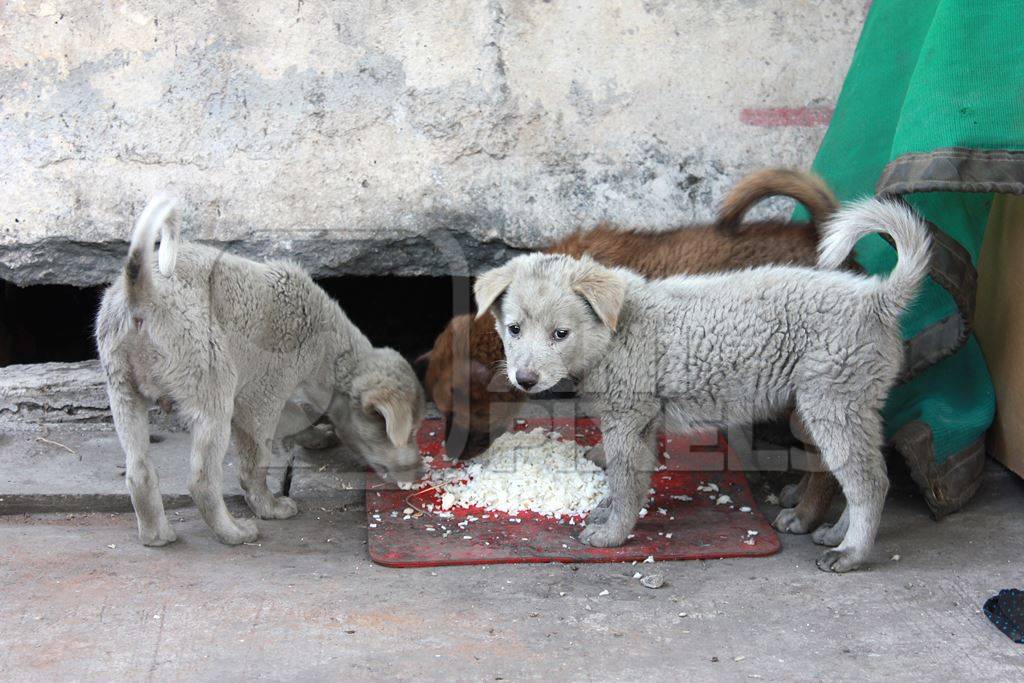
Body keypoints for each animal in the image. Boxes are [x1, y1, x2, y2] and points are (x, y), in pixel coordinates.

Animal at [96, 194, 423, 548]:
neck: (325, 344)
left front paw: (317, 436)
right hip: (213, 394)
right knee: (202, 481)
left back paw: (157, 535)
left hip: (123, 391)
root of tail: (142, 295)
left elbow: (295, 416)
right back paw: (234, 532)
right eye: (405, 433)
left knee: (138, 471)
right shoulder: (260, 399)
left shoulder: (266, 395)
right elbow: (256, 464)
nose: (421, 474)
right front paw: (269, 506)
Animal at [475, 197, 933, 573]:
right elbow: (630, 482)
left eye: (560, 334)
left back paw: (849, 552)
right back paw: (837, 532)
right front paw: (607, 512)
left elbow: (624, 482)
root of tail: (877, 298)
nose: (525, 380)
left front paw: (611, 535)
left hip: (832, 403)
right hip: (852, 405)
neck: (616, 329)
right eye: (514, 329)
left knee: (868, 482)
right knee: (866, 473)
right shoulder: (643, 422)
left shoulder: (626, 418)